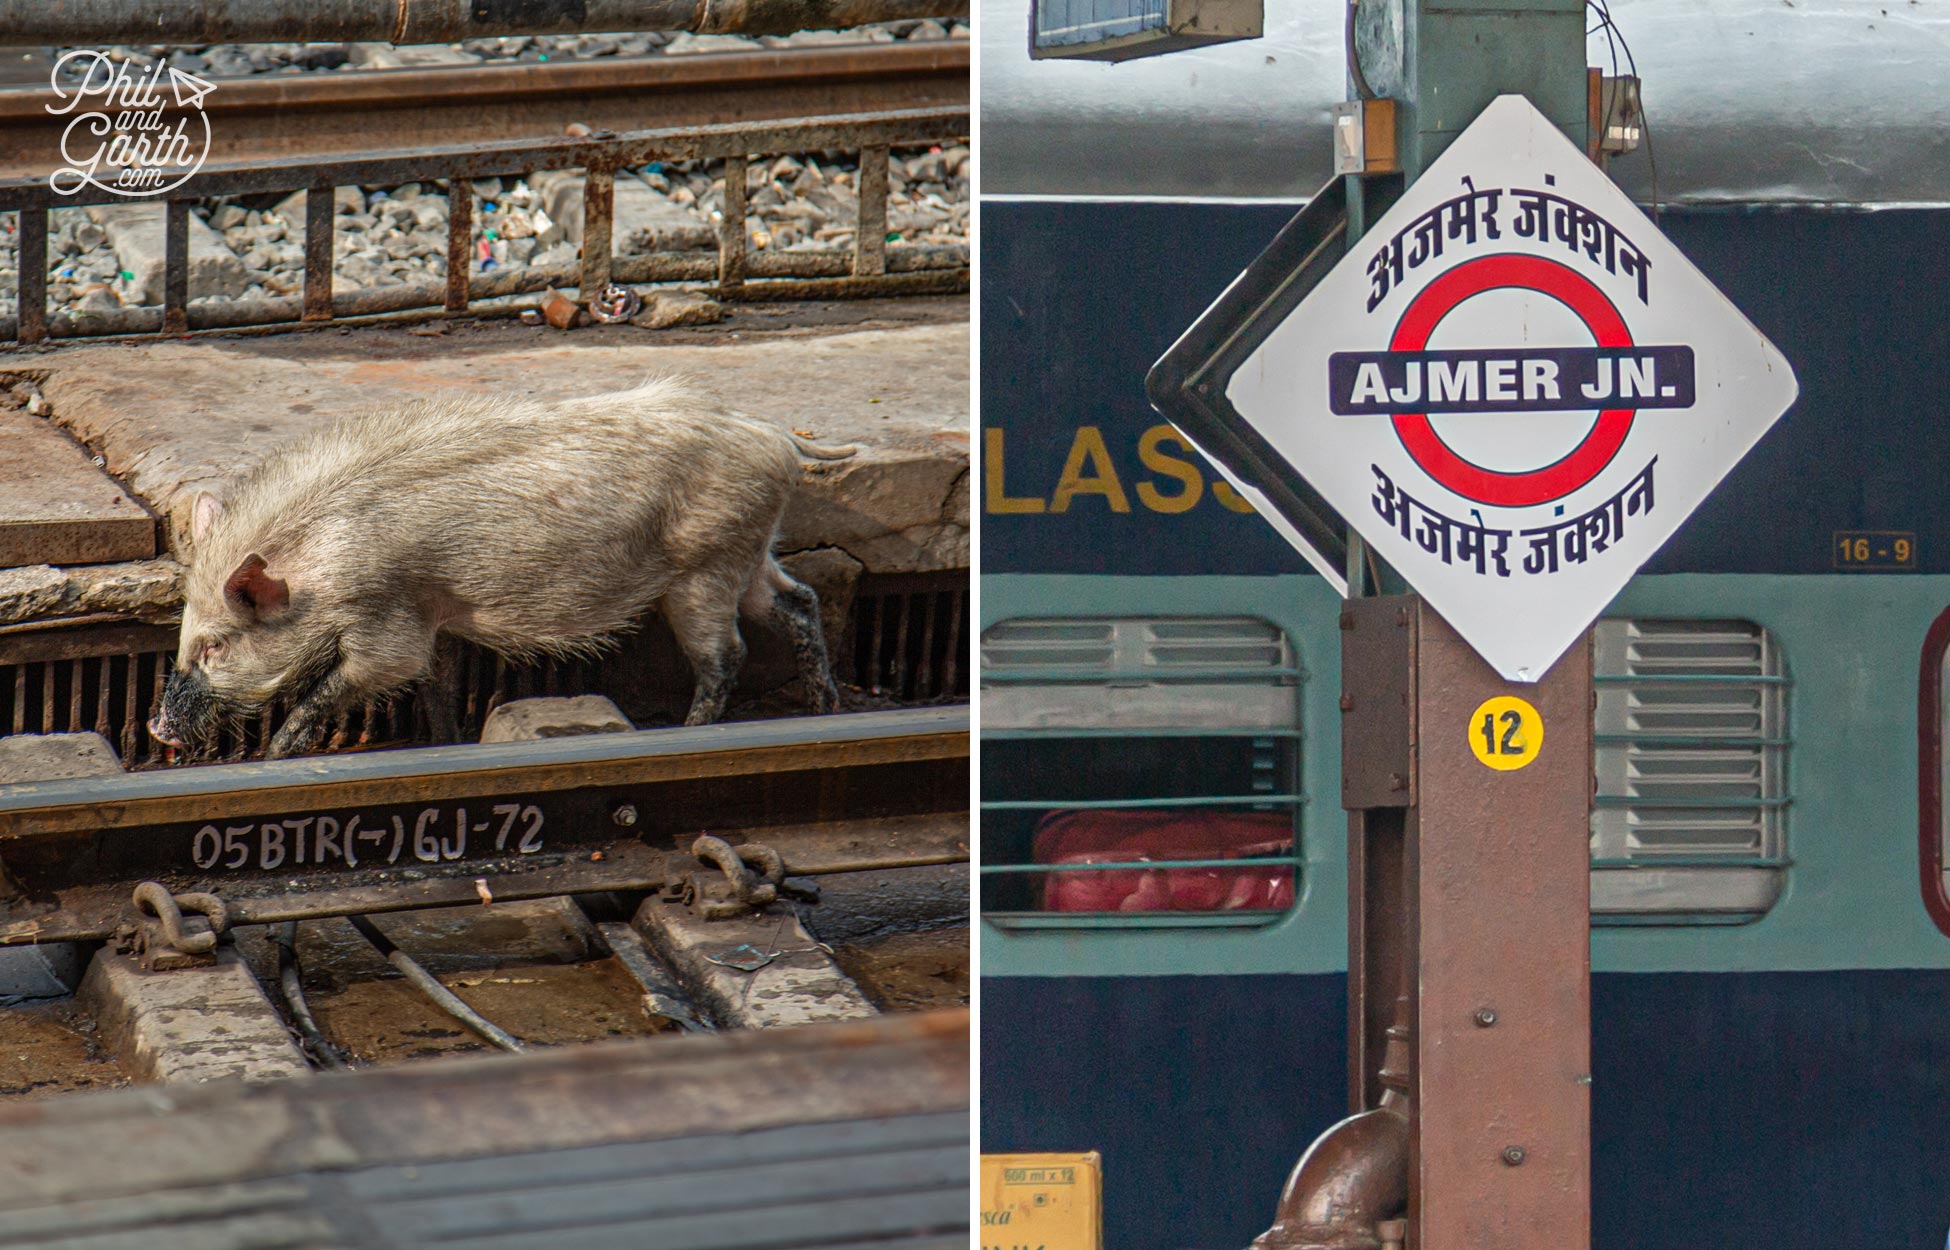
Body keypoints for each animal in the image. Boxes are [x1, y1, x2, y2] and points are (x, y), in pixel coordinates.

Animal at [152, 374, 854, 756]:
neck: (315, 570)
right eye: (184, 633)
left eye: (216, 645)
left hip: (705, 568)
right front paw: (444, 743)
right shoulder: (429, 614)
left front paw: (276, 752)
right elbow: (434, 682)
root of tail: (774, 435)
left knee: (726, 656)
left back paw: (693, 730)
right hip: (748, 552)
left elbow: (357, 681)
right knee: (800, 602)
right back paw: (825, 709)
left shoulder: (385, 621)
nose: (158, 729)